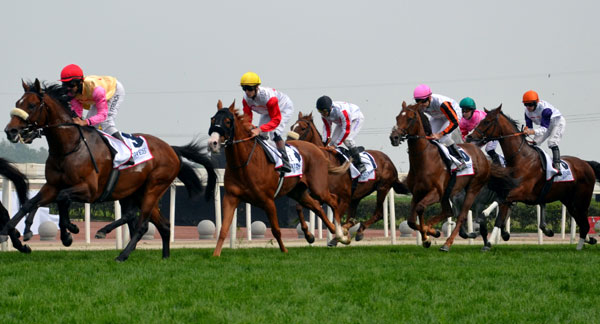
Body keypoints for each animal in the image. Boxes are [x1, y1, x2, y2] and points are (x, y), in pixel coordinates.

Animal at [1, 79, 218, 260]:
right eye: (18, 103)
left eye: (31, 105)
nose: (10, 131)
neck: (70, 146)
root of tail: (172, 149)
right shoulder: (52, 186)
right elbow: (30, 204)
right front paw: (11, 231)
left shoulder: (89, 190)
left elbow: (63, 199)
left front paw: (68, 232)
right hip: (137, 193)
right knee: (161, 225)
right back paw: (164, 257)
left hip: (153, 188)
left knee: (141, 225)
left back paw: (122, 254)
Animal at [206, 98, 350, 256]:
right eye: (213, 119)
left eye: (227, 121)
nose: (213, 143)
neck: (244, 163)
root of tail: (319, 150)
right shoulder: (231, 197)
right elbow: (223, 228)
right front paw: (215, 254)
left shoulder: (268, 200)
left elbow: (276, 230)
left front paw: (284, 250)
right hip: (298, 192)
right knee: (317, 206)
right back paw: (333, 234)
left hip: (318, 188)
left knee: (333, 200)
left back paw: (341, 234)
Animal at [288, 111, 408, 240]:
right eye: (291, 127)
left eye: (302, 128)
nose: (288, 142)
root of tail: (389, 161)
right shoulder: (321, 194)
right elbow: (300, 206)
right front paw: (308, 234)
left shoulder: (342, 198)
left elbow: (337, 217)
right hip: (357, 196)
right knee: (353, 215)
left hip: (382, 188)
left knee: (378, 214)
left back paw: (359, 231)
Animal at [390, 101, 516, 251]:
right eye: (397, 117)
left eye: (410, 118)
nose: (394, 137)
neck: (425, 159)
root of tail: (482, 156)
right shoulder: (418, 192)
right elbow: (410, 221)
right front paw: (428, 236)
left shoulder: (436, 193)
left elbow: (420, 208)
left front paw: (429, 234)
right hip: (449, 194)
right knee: (448, 212)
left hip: (473, 189)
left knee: (462, 216)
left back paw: (447, 244)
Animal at [468, 105, 600, 249]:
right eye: (481, 120)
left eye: (486, 122)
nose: (470, 136)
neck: (521, 158)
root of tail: (586, 163)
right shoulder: (511, 192)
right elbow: (501, 213)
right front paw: (490, 239)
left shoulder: (522, 192)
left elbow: (501, 203)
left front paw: (485, 219)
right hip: (569, 200)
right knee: (580, 221)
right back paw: (587, 241)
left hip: (582, 199)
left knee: (584, 223)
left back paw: (579, 247)